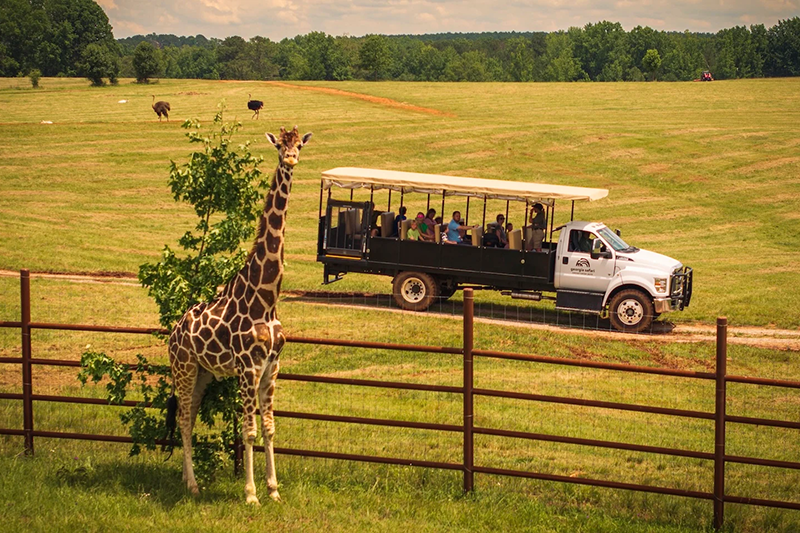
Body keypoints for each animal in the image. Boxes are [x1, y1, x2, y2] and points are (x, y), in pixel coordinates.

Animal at [167, 125, 312, 504]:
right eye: (279, 146)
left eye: (299, 144)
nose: (291, 159)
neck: (266, 298)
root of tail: (173, 332)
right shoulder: (248, 367)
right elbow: (248, 431)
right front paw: (250, 494)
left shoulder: (272, 366)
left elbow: (270, 428)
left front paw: (274, 490)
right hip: (184, 367)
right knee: (184, 418)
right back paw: (192, 485)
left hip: (203, 373)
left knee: (190, 415)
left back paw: (188, 481)